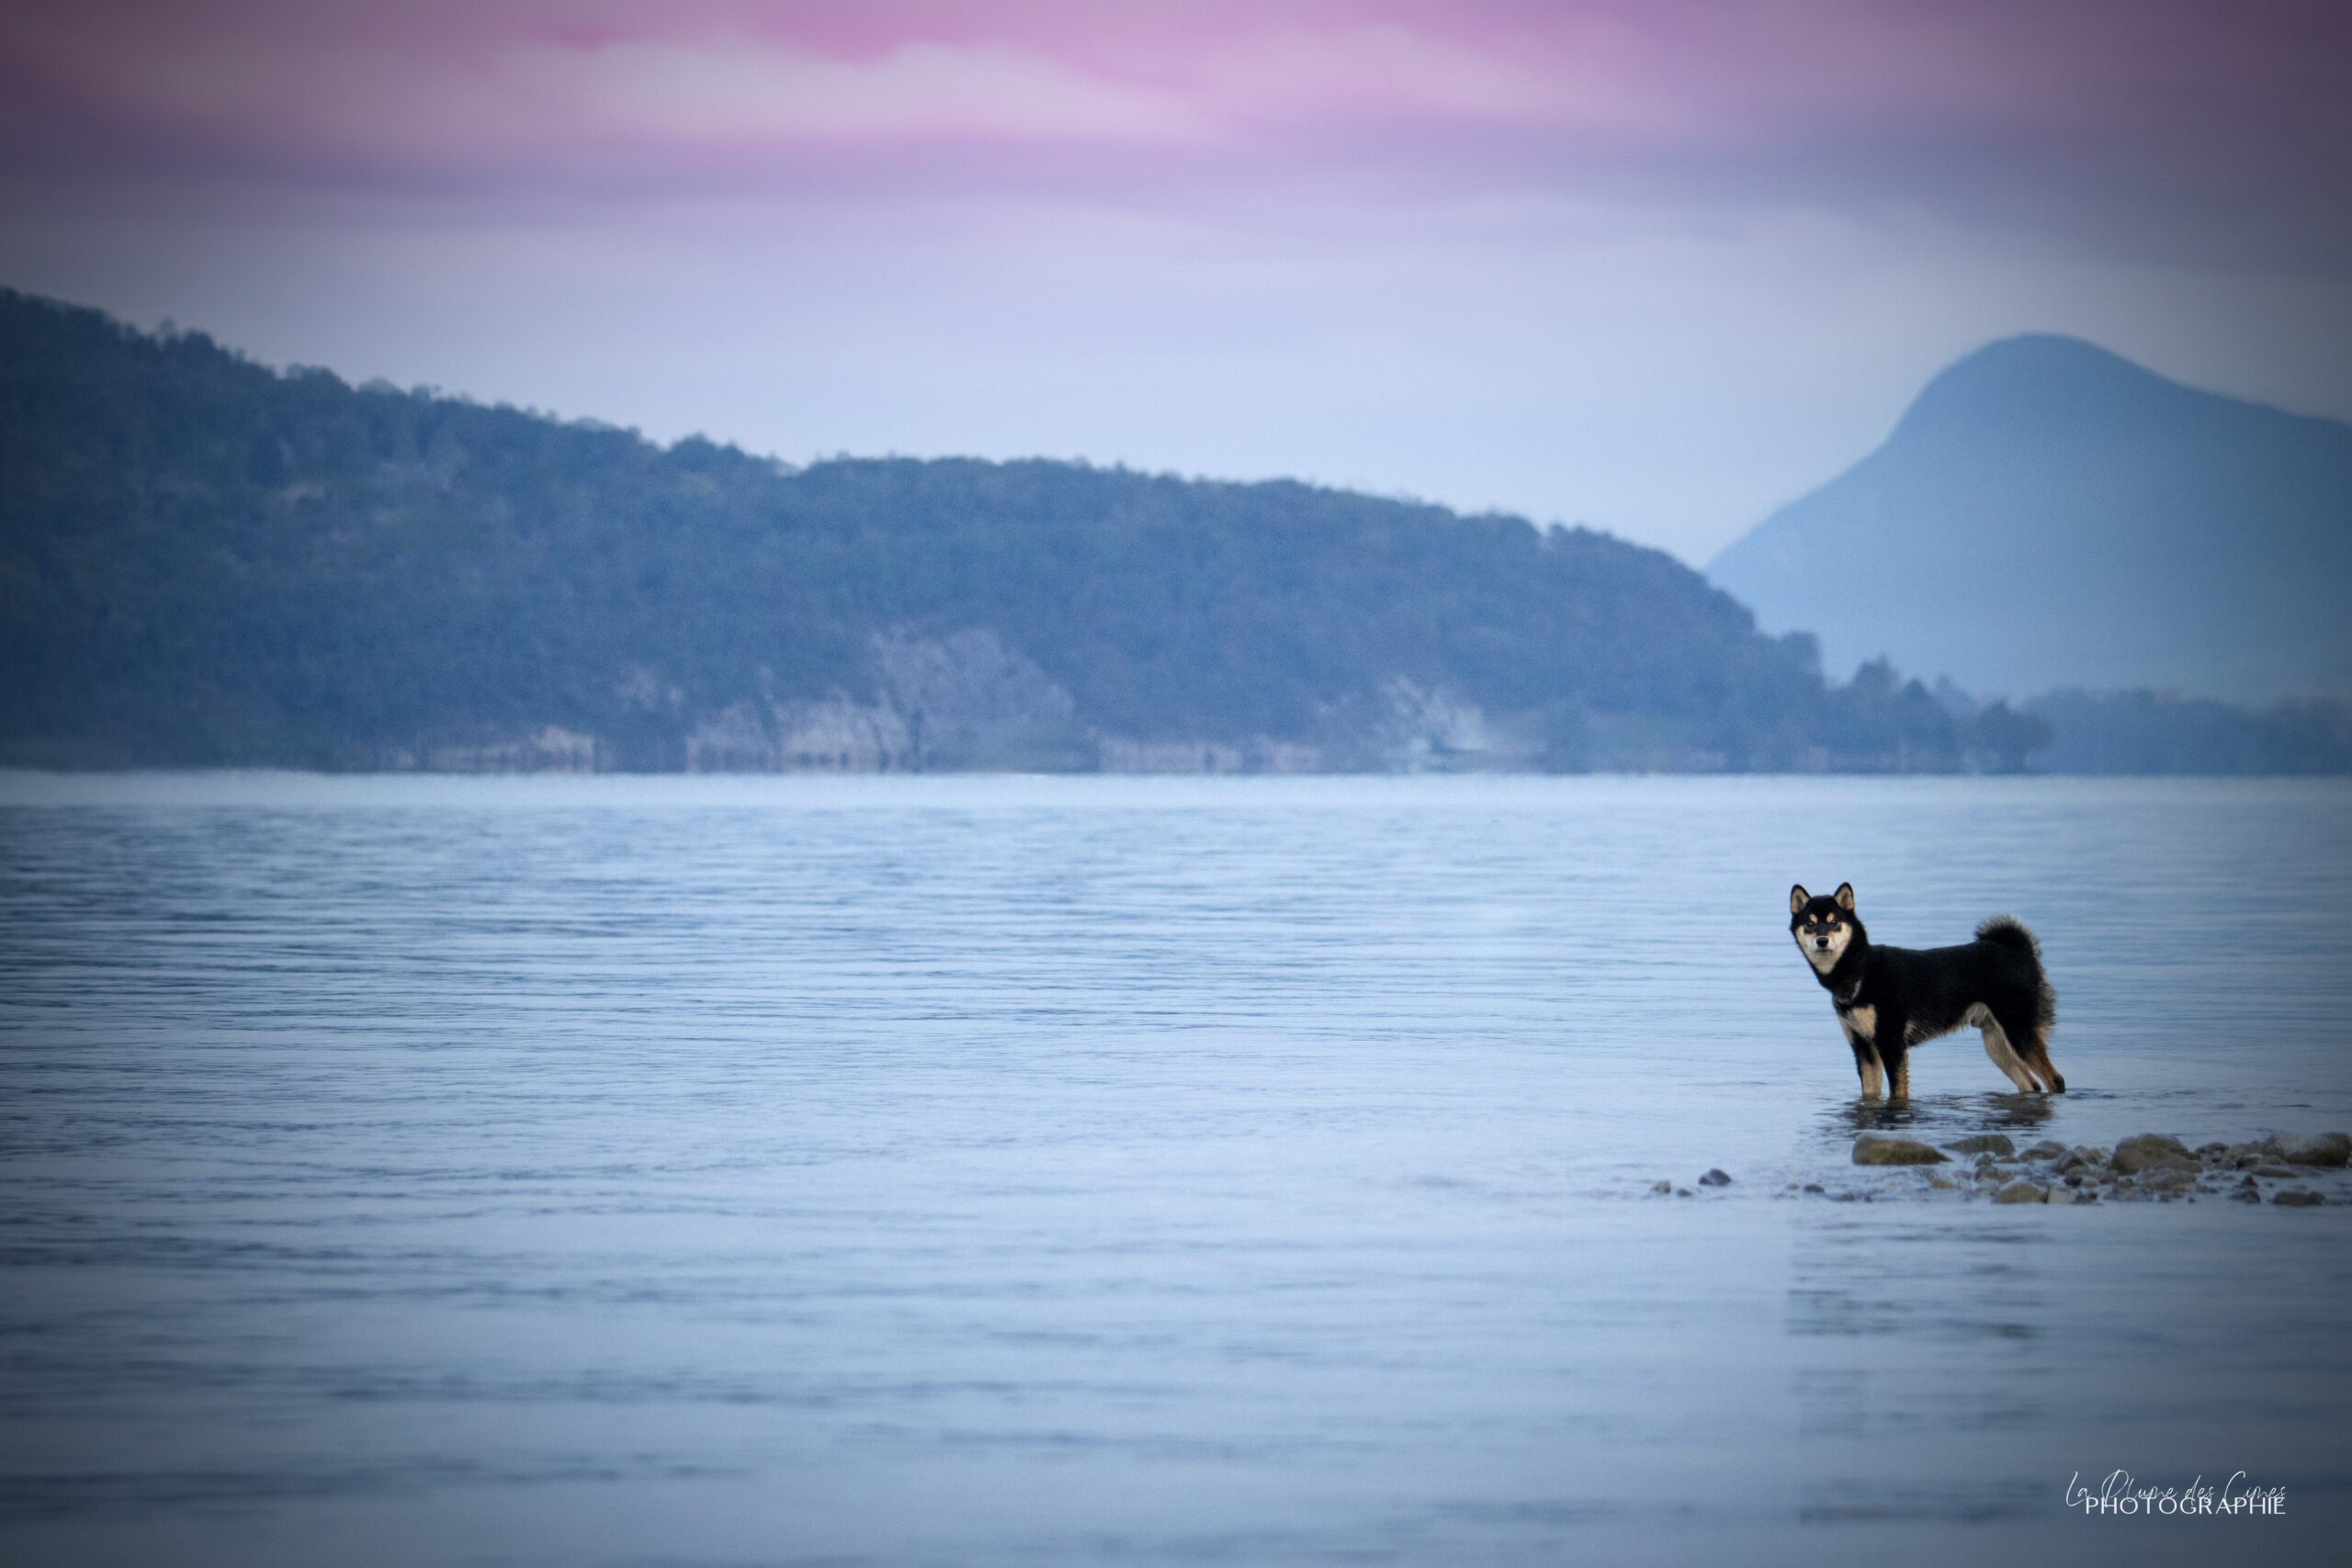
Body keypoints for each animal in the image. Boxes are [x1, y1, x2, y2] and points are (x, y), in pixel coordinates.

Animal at [1796, 884, 2060, 1104]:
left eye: (1834, 922)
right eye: (1810, 924)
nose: (1822, 940)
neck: (1859, 969)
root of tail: (2020, 951)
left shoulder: (1891, 1044)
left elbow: (1898, 1092)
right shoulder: (1863, 1047)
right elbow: (1870, 1095)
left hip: (2018, 1033)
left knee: (2055, 1081)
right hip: (1997, 1044)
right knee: (2032, 1085)